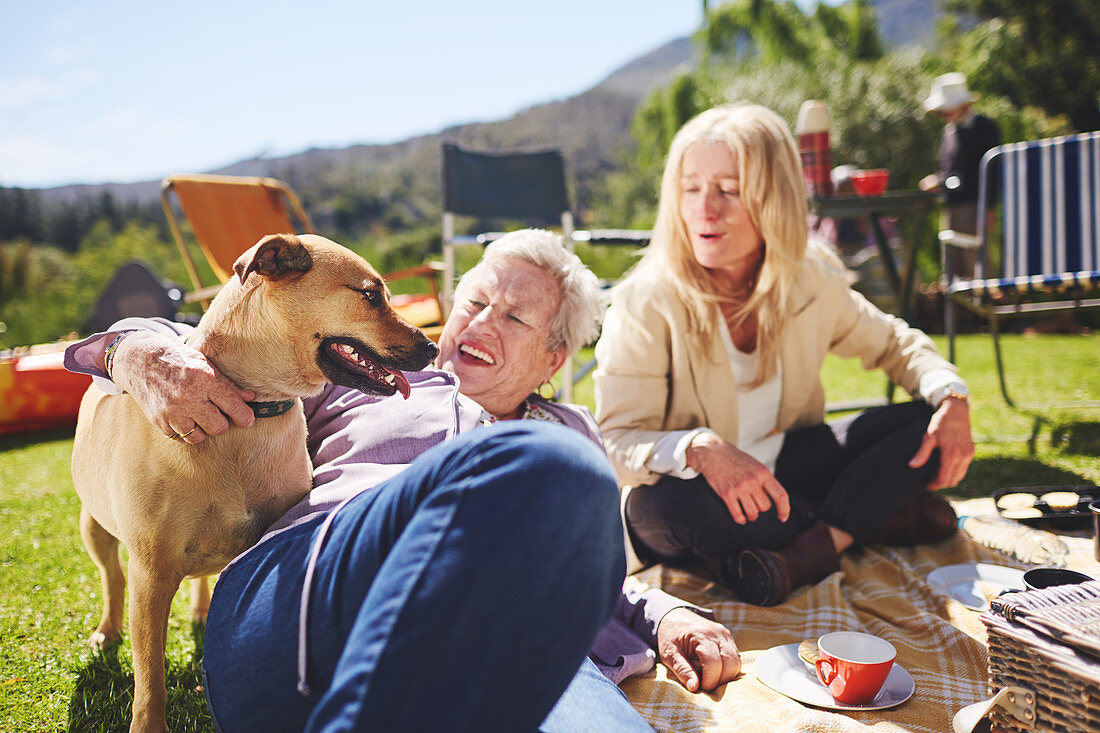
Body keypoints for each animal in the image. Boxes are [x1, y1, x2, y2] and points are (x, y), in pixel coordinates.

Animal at [67, 234, 437, 730]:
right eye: (371, 295)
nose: (433, 348)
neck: (253, 413)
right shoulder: (150, 573)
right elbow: (150, 678)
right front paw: (148, 723)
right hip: (94, 528)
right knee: (111, 579)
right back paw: (107, 631)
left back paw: (201, 610)